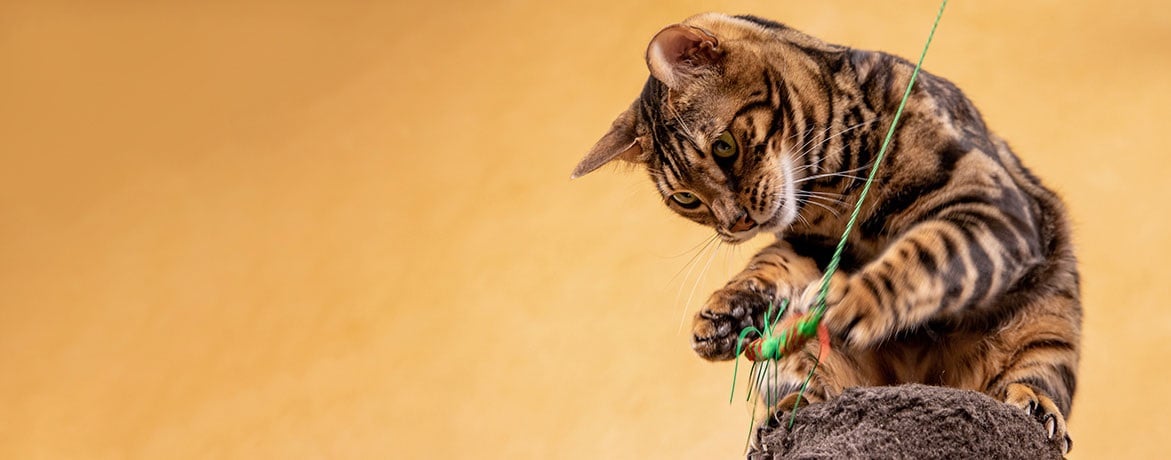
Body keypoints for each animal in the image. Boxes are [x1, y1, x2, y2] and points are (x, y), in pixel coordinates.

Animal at [573, 12, 1077, 454]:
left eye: (724, 148)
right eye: (685, 198)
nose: (735, 223)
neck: (832, 185)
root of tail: (916, 382)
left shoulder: (989, 205)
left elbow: (923, 253)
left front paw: (854, 301)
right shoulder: (812, 245)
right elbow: (771, 263)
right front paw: (722, 316)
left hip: (1046, 327)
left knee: (1031, 381)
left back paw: (1034, 407)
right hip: (796, 363)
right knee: (815, 385)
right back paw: (788, 411)